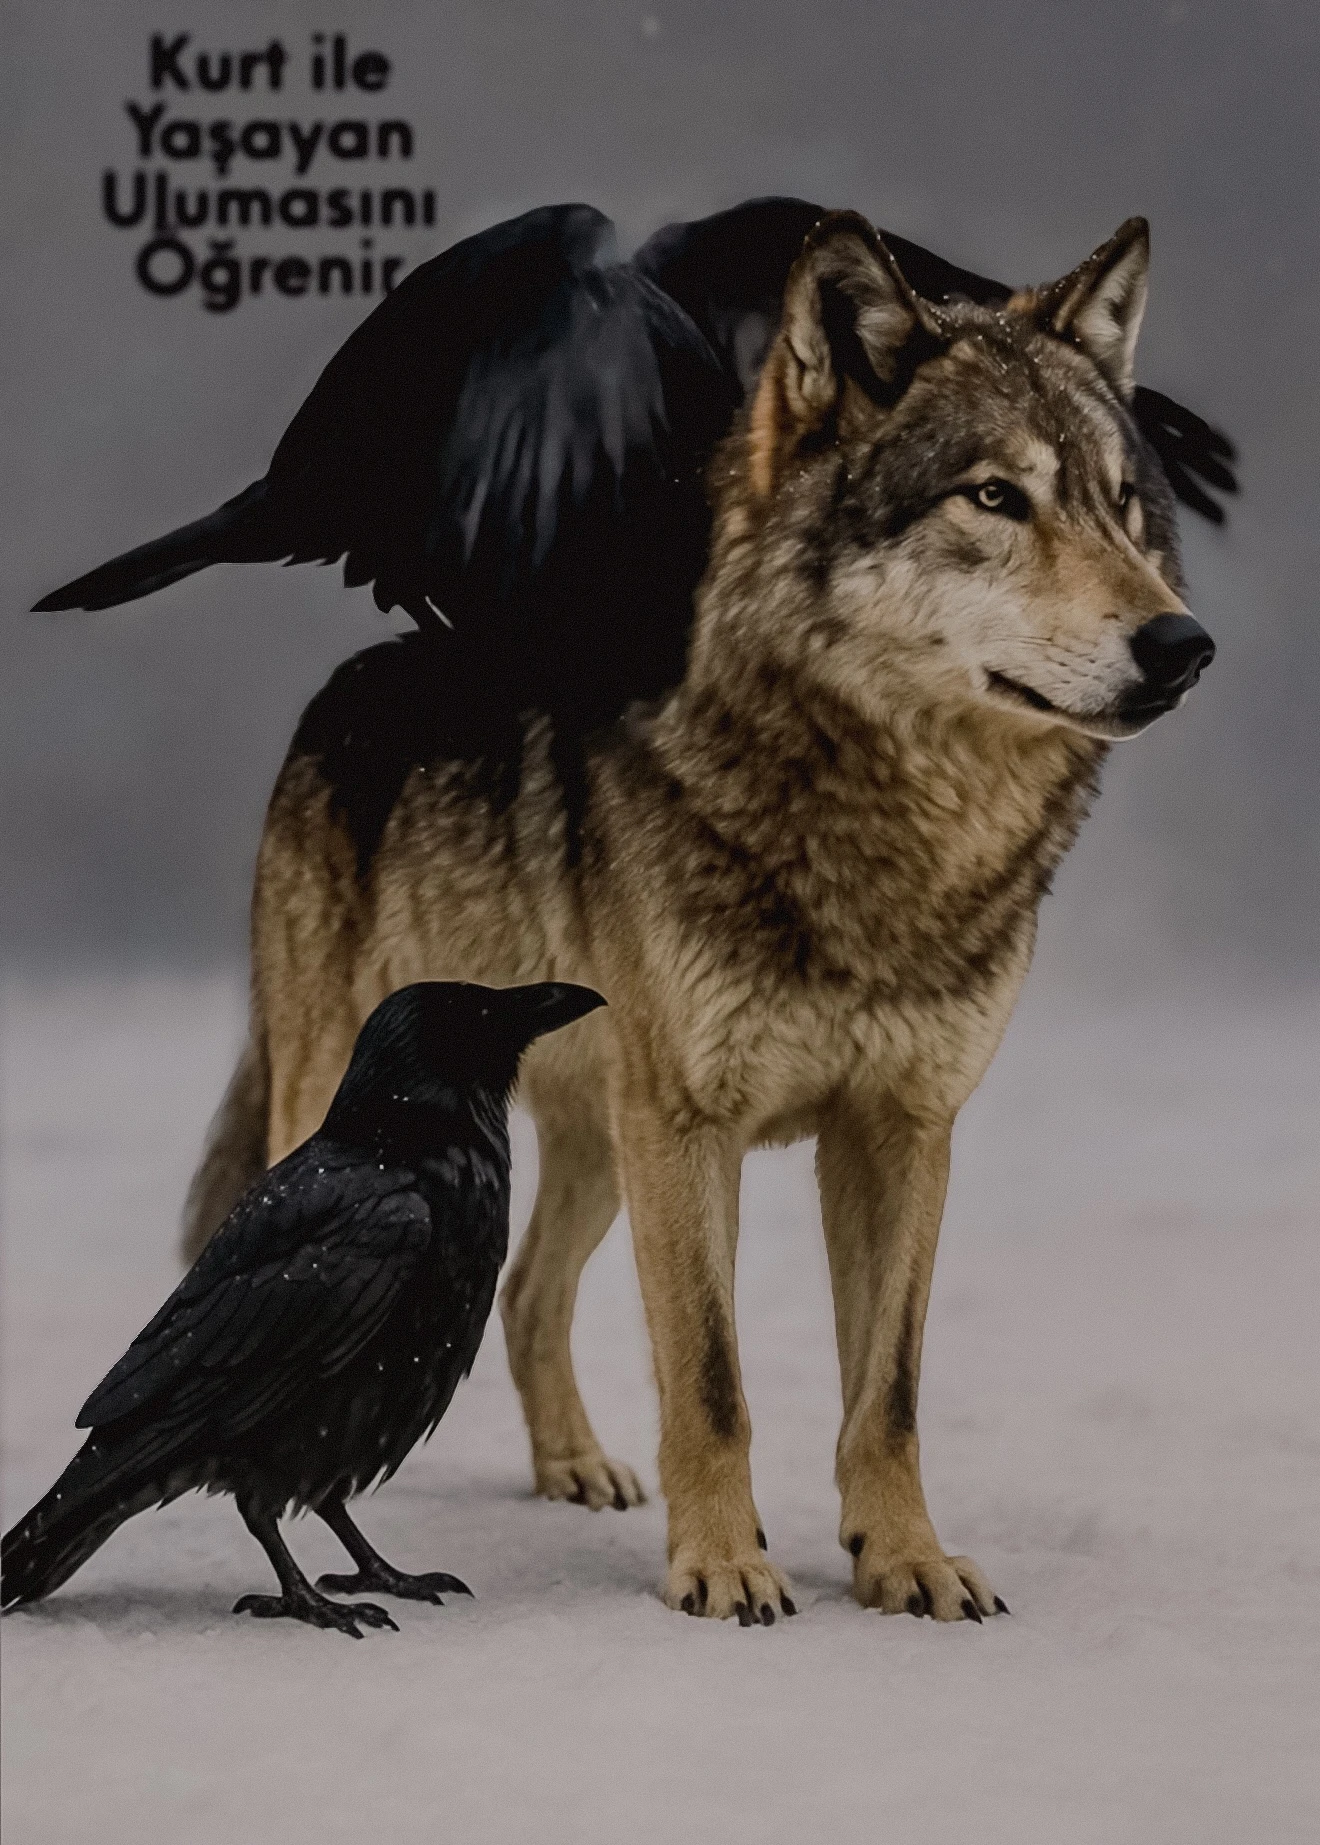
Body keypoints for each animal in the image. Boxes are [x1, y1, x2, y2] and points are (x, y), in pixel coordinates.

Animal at [183, 212, 1214, 1624]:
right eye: (995, 497)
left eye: (1123, 504)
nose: (1184, 645)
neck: (884, 838)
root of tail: (350, 677)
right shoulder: (690, 1128)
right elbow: (713, 1377)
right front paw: (726, 1567)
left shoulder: (903, 1132)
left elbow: (888, 1391)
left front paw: (906, 1560)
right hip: (362, 1124)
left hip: (595, 1141)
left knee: (528, 1292)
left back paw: (572, 1466)